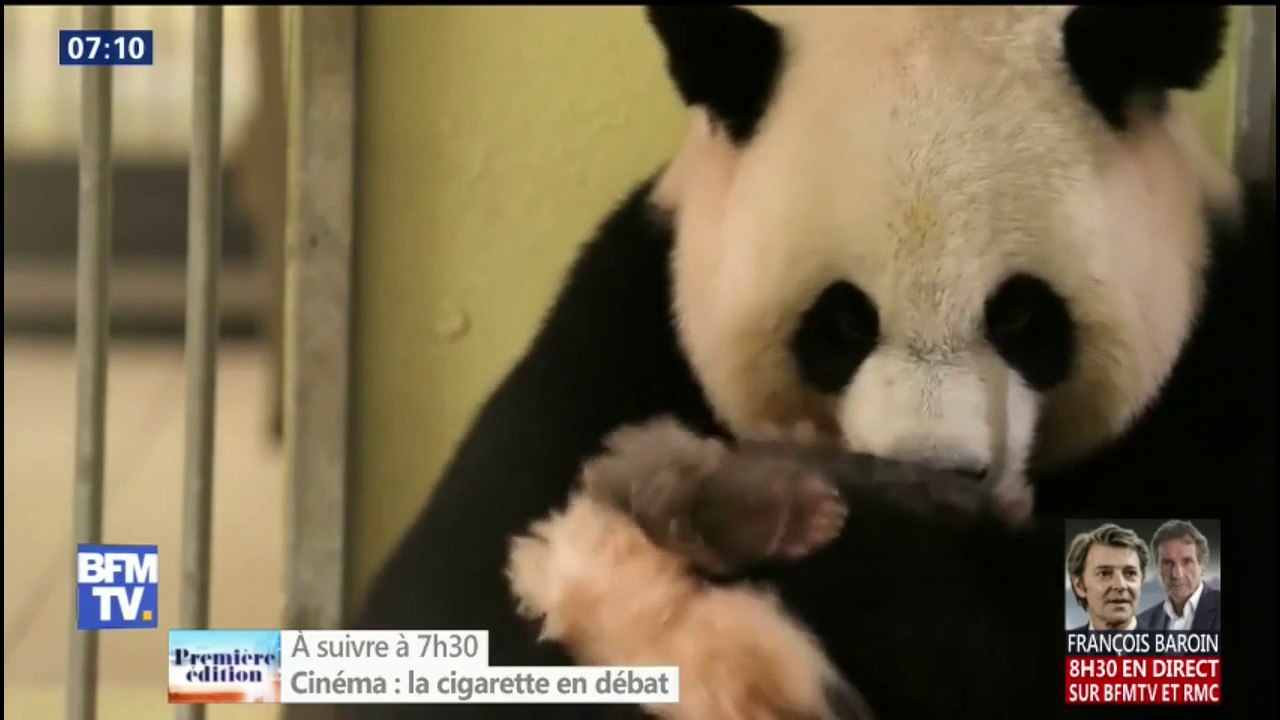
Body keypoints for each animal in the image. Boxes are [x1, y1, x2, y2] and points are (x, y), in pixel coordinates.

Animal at [352, 6, 1275, 720]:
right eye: (841, 322)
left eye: (1019, 314)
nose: (934, 475)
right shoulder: (613, 336)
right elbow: (449, 613)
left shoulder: (1223, 367)